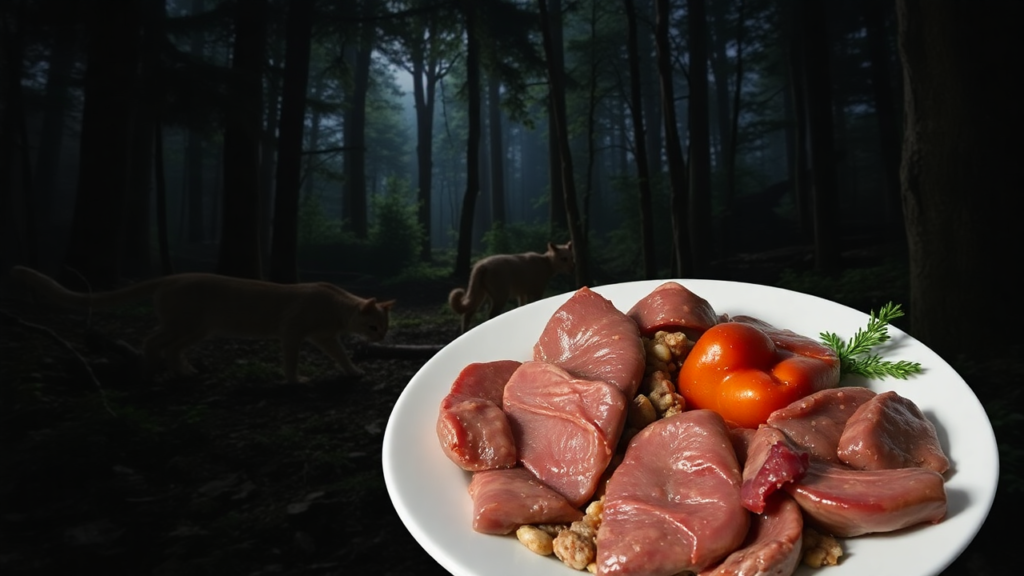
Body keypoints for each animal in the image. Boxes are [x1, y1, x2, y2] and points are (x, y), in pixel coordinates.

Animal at [12, 266, 395, 383]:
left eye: (385, 327)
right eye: (374, 327)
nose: (382, 338)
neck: (336, 308)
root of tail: (171, 277)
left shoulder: (325, 338)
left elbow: (341, 356)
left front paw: (353, 372)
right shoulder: (292, 332)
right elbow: (291, 359)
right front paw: (294, 380)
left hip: (197, 329)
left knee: (171, 347)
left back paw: (185, 372)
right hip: (184, 324)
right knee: (152, 340)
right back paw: (151, 371)